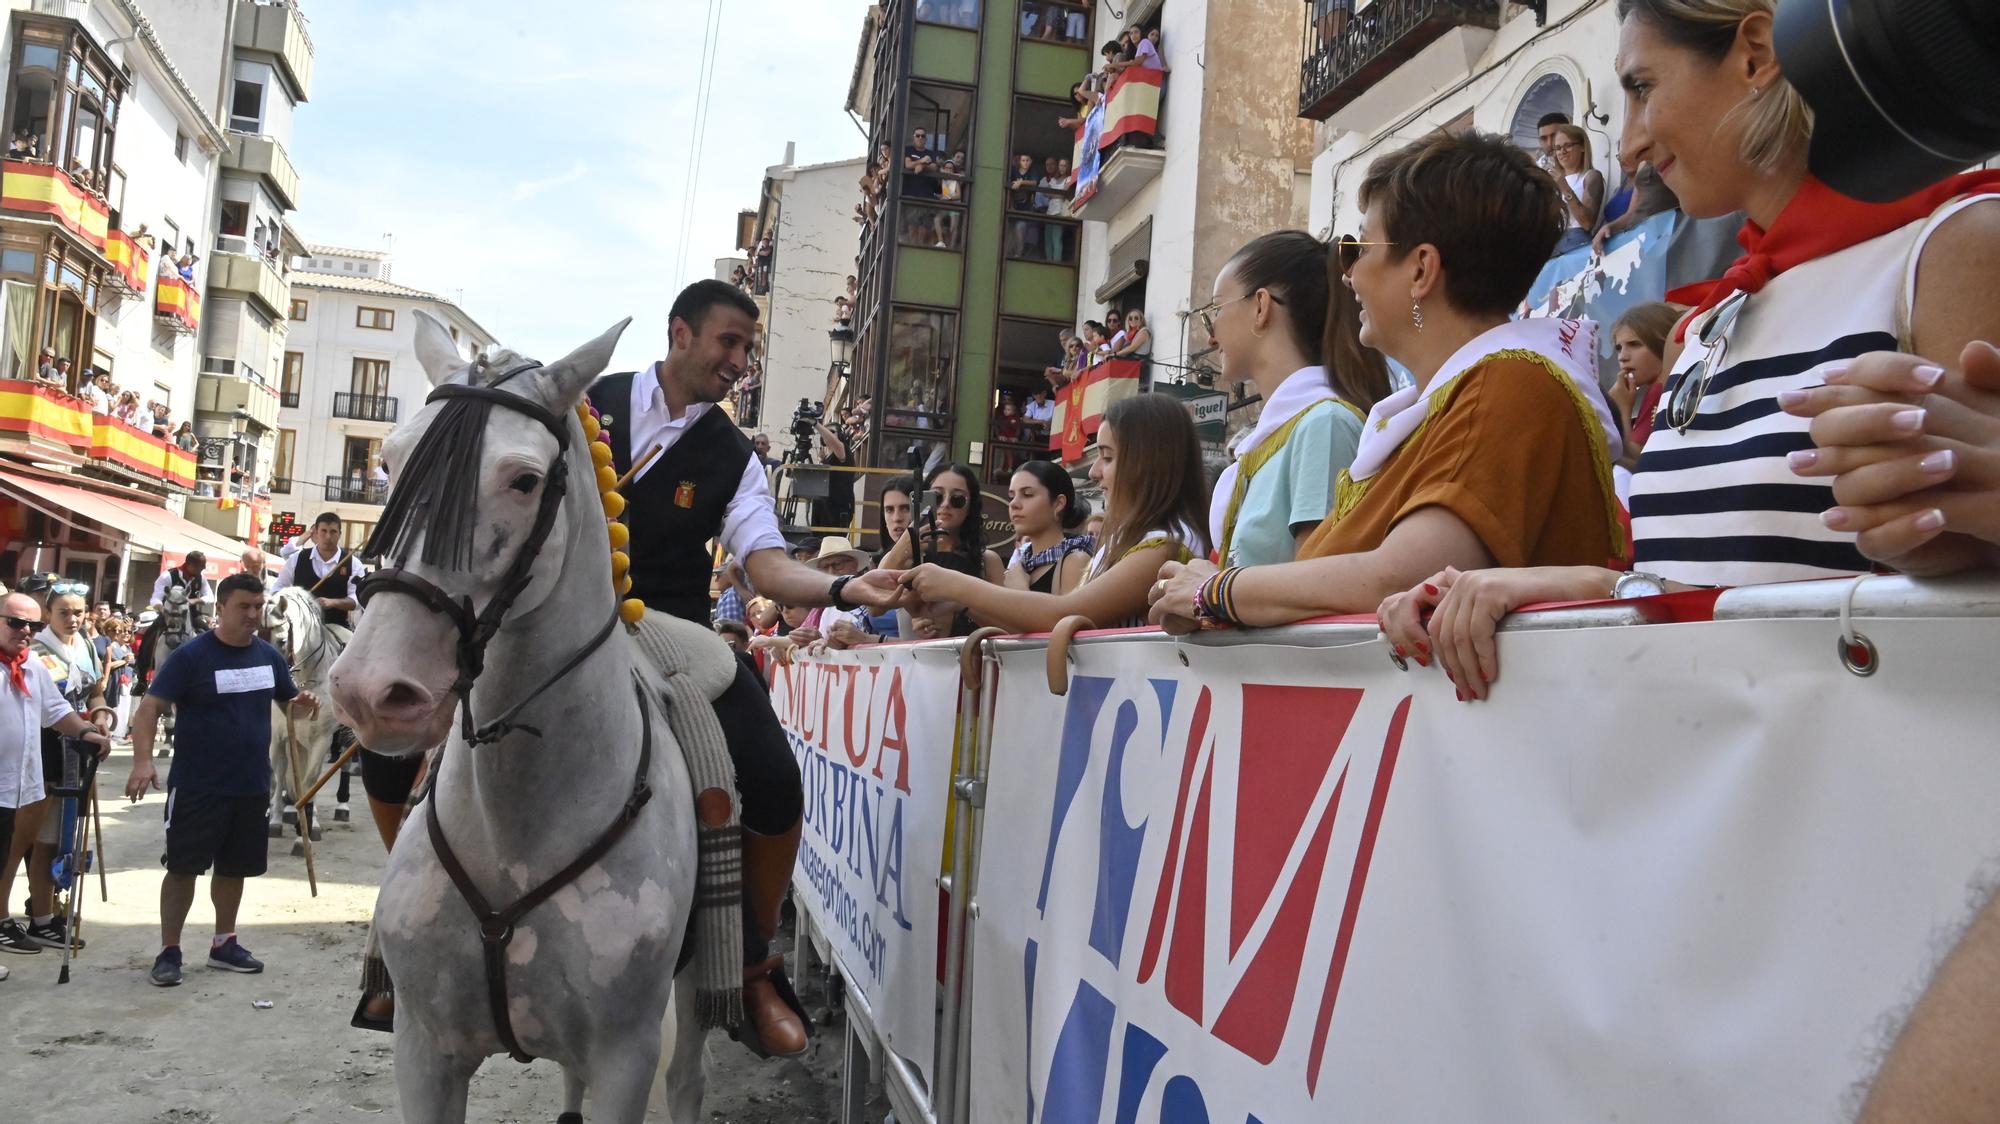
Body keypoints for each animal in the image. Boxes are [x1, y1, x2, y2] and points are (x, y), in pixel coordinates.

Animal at [326, 316, 704, 1120]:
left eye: (525, 481)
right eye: (389, 458)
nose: (372, 690)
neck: (517, 824)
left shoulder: (626, 1061)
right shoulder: (424, 1052)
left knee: (690, 1077)